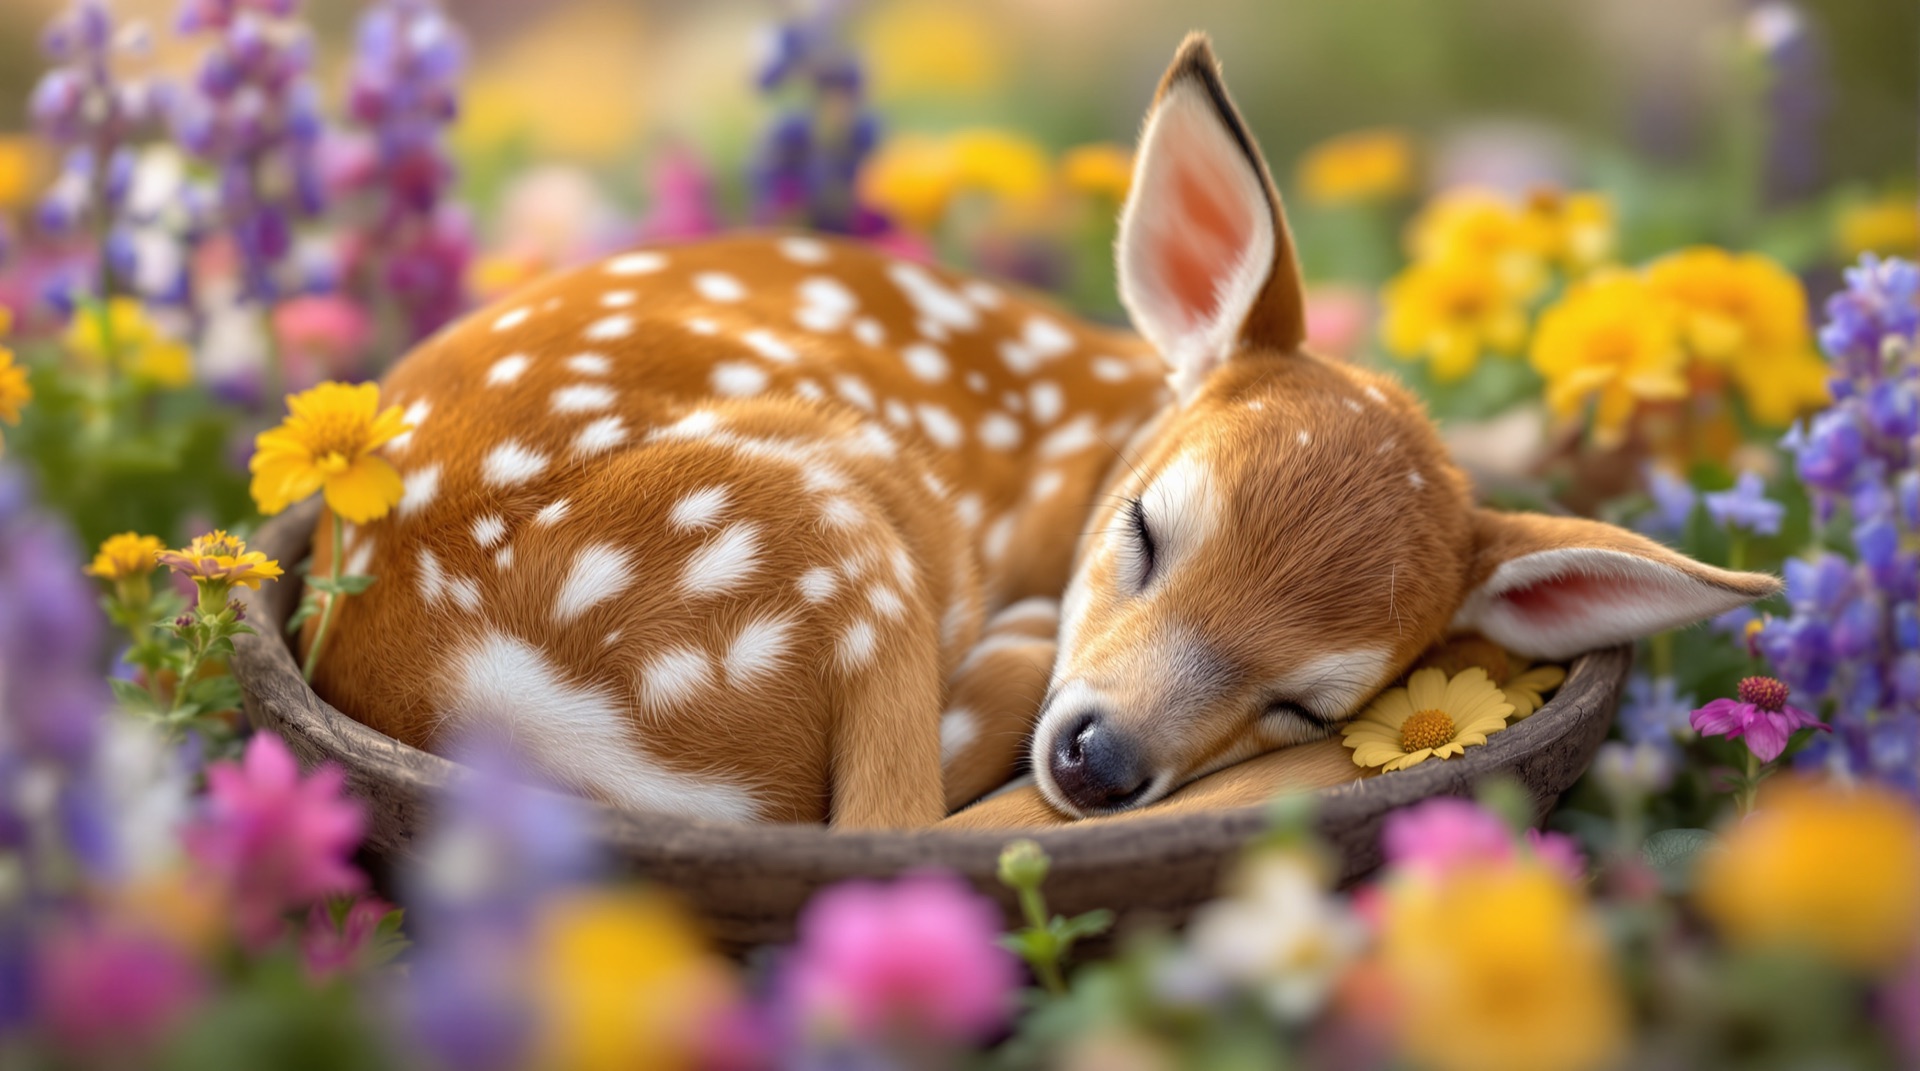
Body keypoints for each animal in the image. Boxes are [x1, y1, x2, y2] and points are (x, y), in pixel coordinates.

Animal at [304, 34, 1780, 830]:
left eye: (1313, 703)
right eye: (1145, 532)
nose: (1100, 760)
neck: (1084, 443)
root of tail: (488, 694)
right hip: (831, 506)